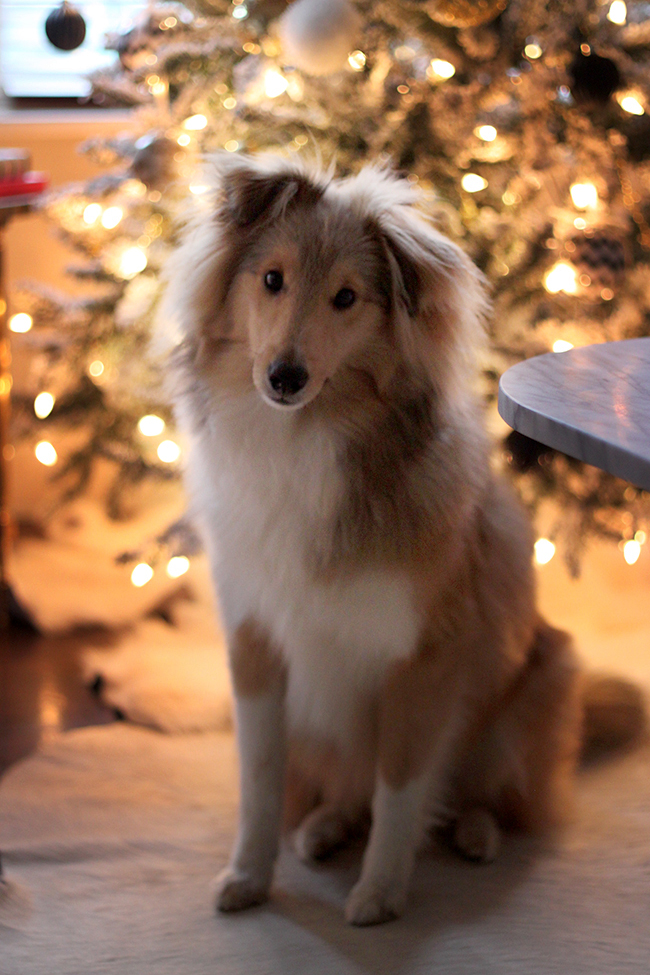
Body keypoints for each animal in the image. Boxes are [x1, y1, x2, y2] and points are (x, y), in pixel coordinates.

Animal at [158, 151, 584, 924]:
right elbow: (260, 782)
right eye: (272, 279)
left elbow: (401, 785)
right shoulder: (254, 643)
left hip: (545, 676)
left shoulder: (424, 656)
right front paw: (249, 876)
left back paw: (475, 832)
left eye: (347, 298)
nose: (284, 376)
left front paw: (381, 892)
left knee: (490, 796)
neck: (304, 439)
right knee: (345, 792)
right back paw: (322, 827)